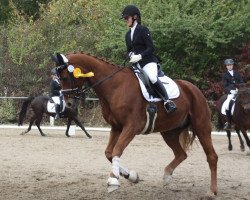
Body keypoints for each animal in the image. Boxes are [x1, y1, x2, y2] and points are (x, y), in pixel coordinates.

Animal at [53, 52, 218, 196]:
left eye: (65, 77)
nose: (68, 104)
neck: (114, 86)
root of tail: (194, 88)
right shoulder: (116, 127)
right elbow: (109, 153)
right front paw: (131, 176)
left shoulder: (131, 127)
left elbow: (117, 150)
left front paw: (113, 181)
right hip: (169, 132)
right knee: (181, 154)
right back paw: (167, 176)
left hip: (201, 126)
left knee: (212, 157)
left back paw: (212, 191)